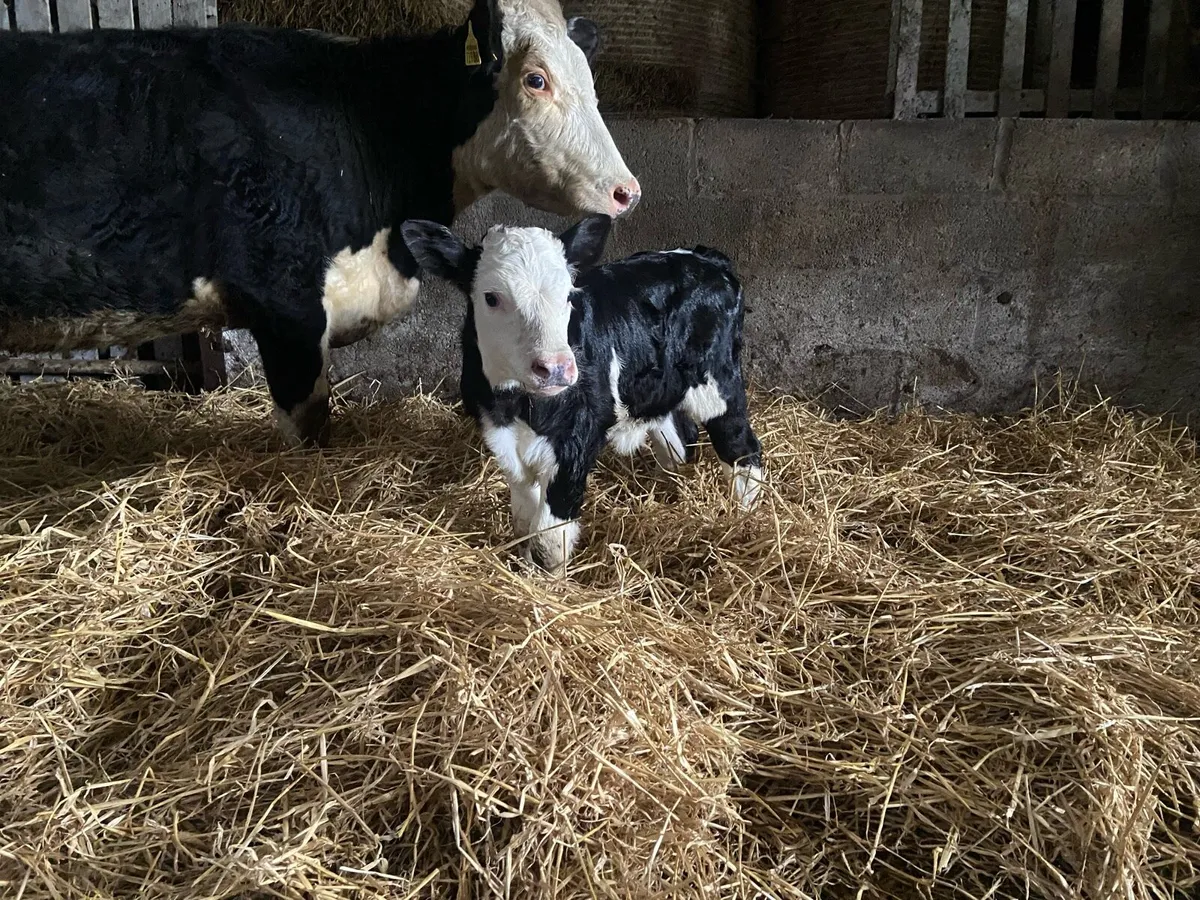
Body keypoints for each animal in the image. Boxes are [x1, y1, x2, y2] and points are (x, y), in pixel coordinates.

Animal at [400, 214, 765, 575]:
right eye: (491, 297)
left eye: (567, 294)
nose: (556, 368)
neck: (517, 405)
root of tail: (704, 258)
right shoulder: (501, 438)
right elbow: (524, 522)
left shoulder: (577, 438)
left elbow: (548, 539)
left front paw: (549, 585)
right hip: (657, 390)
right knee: (680, 439)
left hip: (717, 381)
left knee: (741, 446)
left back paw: (744, 517)